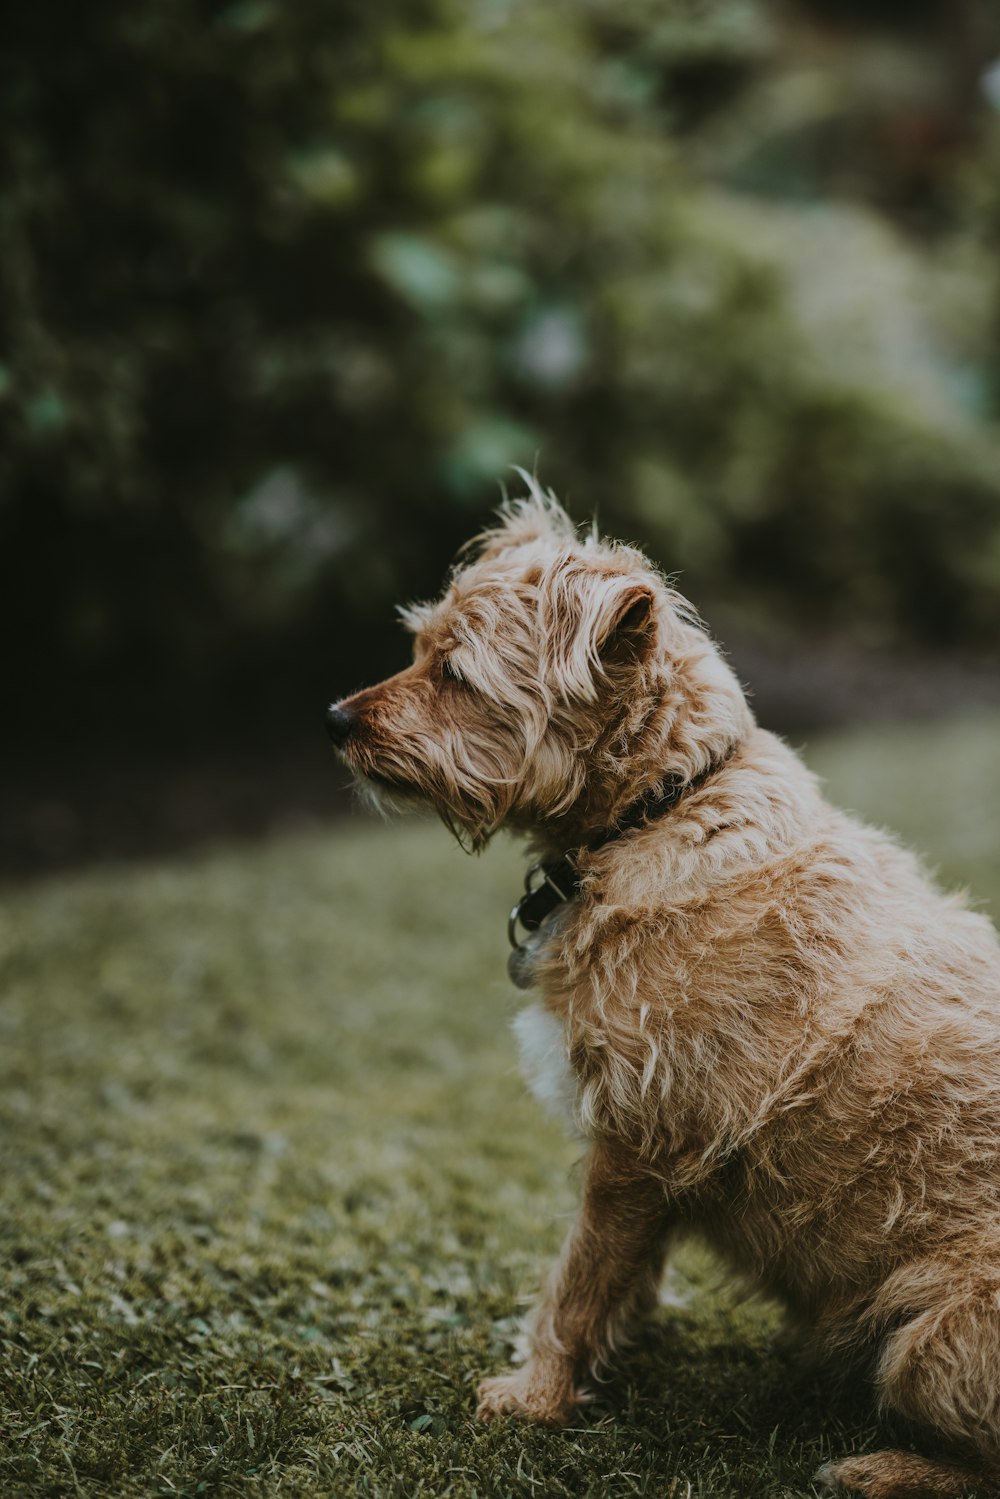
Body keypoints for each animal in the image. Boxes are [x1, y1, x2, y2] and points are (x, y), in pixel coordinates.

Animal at [328, 485, 1000, 1493]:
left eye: (456, 672)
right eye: (418, 646)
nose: (333, 718)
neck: (663, 809)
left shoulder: (639, 1142)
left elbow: (577, 1277)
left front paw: (536, 1394)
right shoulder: (641, 1155)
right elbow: (616, 1270)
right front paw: (611, 1349)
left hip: (935, 1335)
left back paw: (882, 1467)